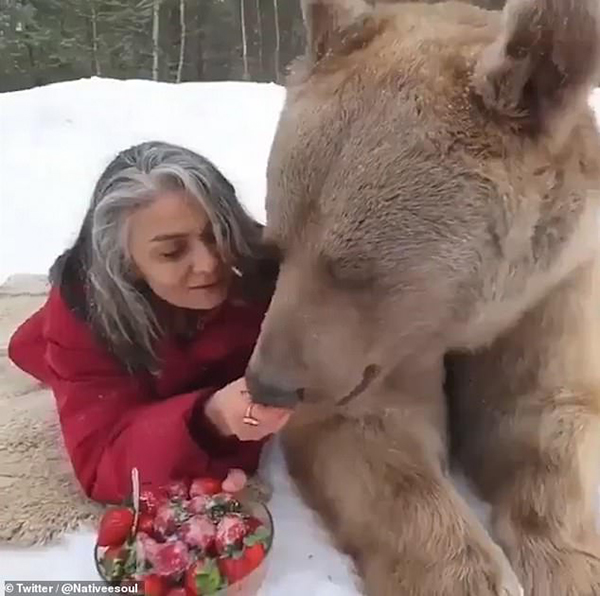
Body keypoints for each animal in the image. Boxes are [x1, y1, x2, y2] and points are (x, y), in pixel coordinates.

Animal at [246, 1, 600, 596]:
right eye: (277, 247)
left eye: (353, 269)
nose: (268, 384)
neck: (460, 320)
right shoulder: (383, 351)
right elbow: (381, 441)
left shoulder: (554, 291)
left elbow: (547, 418)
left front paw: (570, 567)